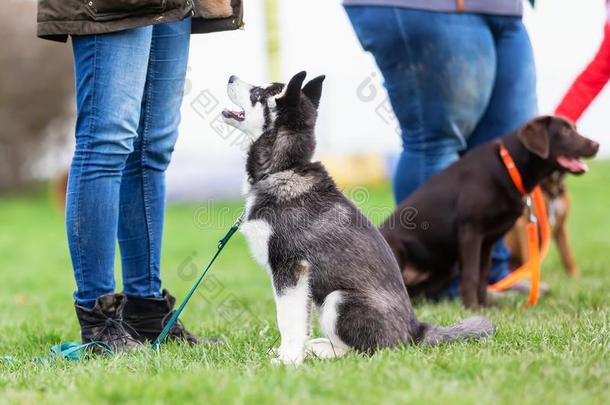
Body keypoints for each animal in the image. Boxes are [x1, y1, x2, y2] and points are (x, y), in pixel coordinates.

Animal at [221, 71, 492, 364]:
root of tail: (415, 330)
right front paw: (289, 353)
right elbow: (298, 321)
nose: (231, 76)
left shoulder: (290, 268)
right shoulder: (299, 279)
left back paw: (321, 351)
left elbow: (288, 320)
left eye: (258, 93)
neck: (284, 170)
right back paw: (315, 347)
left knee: (363, 351)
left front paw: (288, 361)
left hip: (338, 299)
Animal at [378, 115, 596, 308]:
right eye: (565, 131)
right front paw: (472, 308)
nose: (596, 145)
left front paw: (485, 307)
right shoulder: (471, 232)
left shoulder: (487, 241)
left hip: (443, 273)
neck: (508, 167)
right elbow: (471, 275)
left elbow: (483, 276)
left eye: (575, 128)